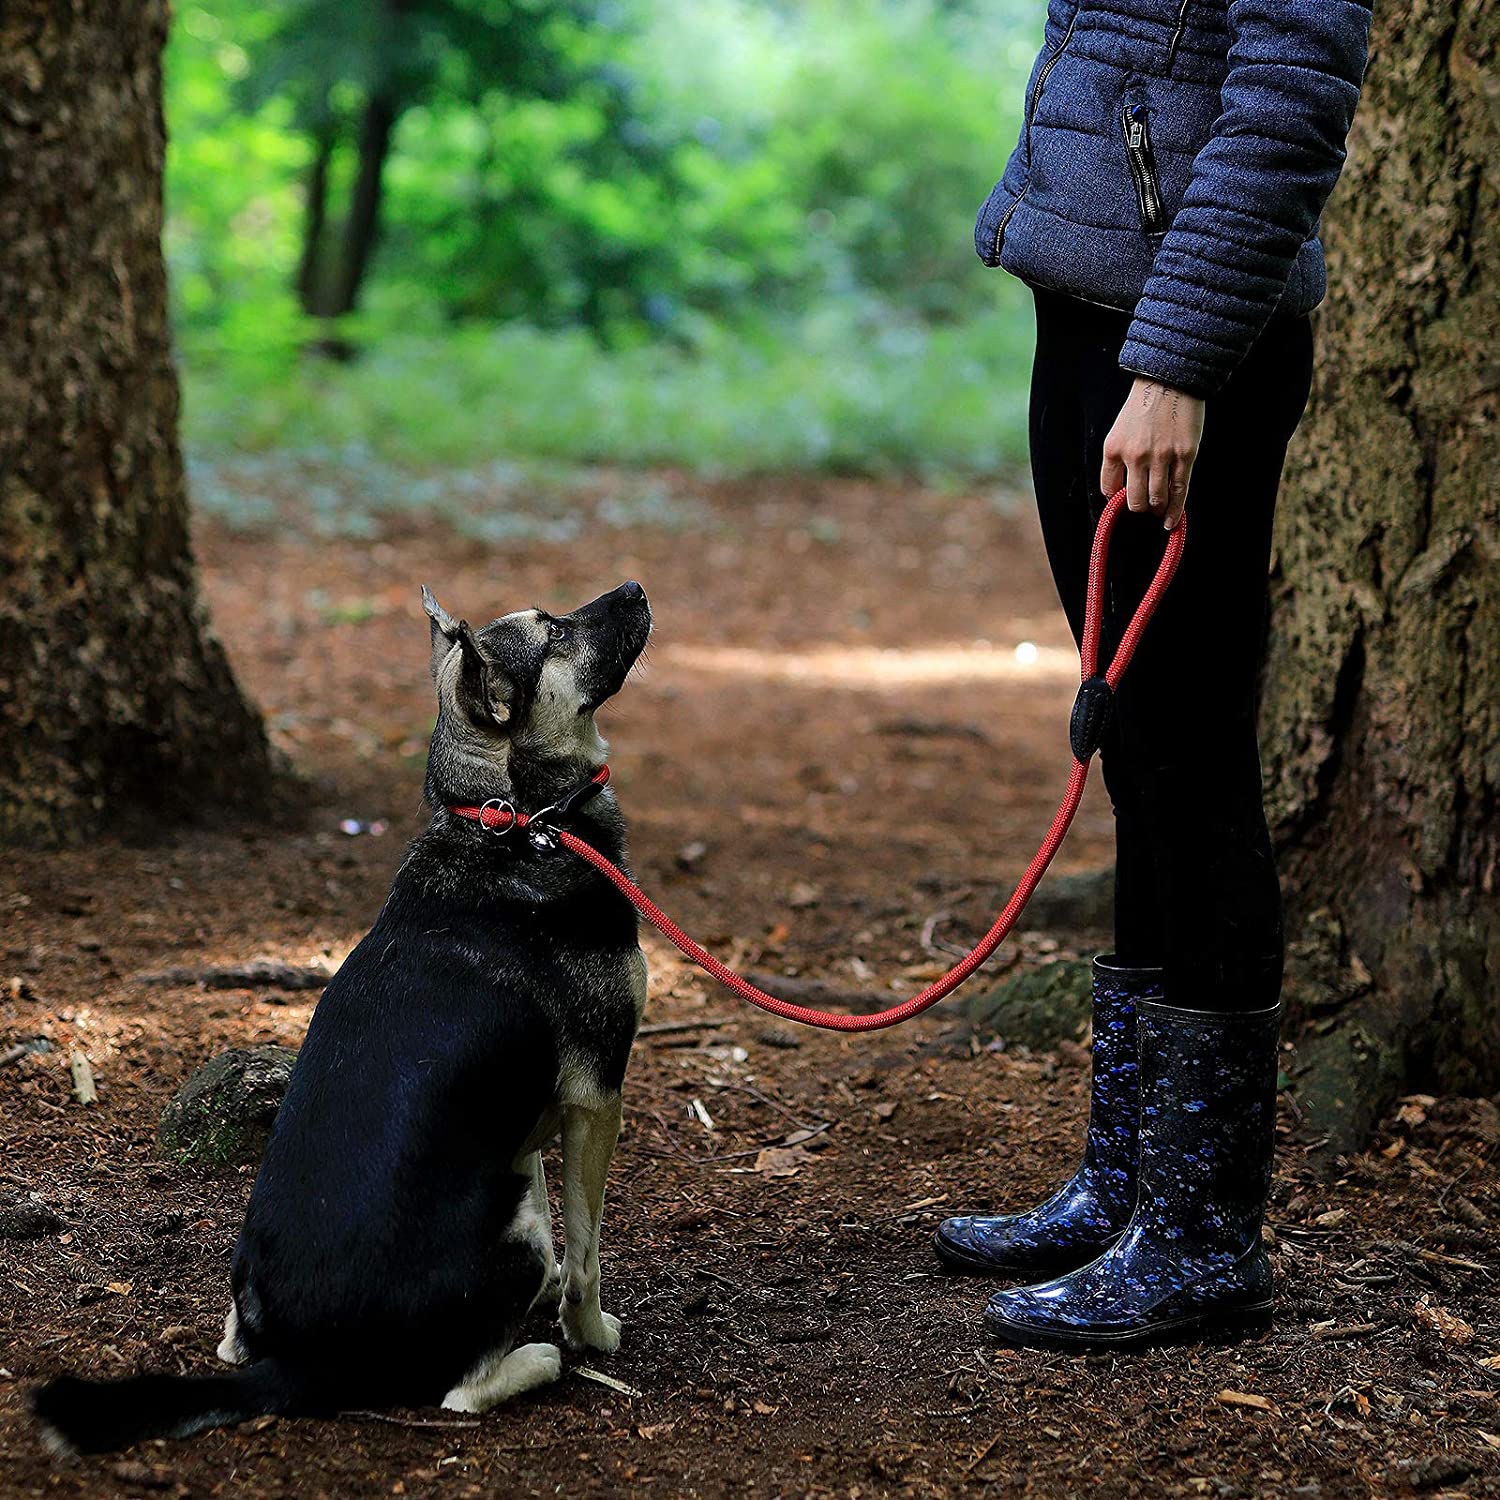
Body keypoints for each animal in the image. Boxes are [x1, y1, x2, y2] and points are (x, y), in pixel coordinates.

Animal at [32, 579, 654, 1446]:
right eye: (556, 633)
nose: (634, 587)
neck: (515, 822)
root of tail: (300, 1361)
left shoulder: (528, 1118)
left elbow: (546, 1189)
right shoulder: (598, 1097)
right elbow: (588, 1254)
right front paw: (591, 1332)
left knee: (233, 1345)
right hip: (515, 1233)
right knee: (460, 1392)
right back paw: (541, 1357)